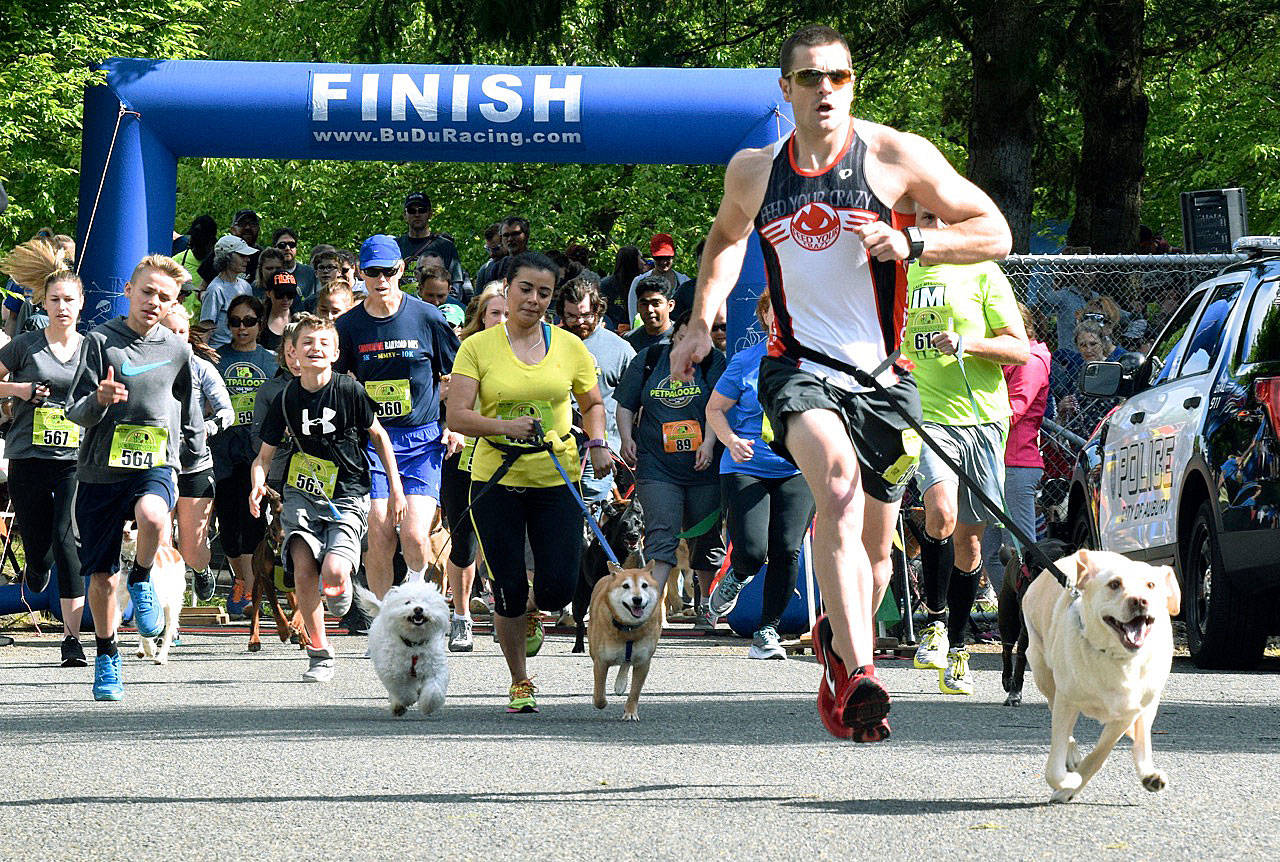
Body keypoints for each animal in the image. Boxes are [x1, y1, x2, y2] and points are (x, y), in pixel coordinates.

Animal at [358, 581, 453, 717]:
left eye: (426, 602)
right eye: (407, 602)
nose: (418, 608)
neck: (414, 645)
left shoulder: (434, 669)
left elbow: (433, 692)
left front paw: (427, 706)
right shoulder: (394, 673)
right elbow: (404, 691)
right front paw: (408, 699)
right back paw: (398, 706)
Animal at [573, 496, 645, 653]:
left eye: (638, 522)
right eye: (624, 524)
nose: (634, 535)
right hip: (580, 599)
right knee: (580, 623)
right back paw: (578, 646)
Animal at [993, 537, 1075, 707]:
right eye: (1037, 570)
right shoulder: (1026, 634)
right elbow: (1020, 665)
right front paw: (1014, 696)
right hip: (1009, 621)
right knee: (1006, 651)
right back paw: (1007, 680)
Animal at [1018, 550, 1177, 799]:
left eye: (1151, 585)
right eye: (1114, 584)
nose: (1140, 600)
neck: (1116, 657)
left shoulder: (1126, 713)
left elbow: (1100, 753)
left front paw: (1073, 784)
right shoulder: (1066, 700)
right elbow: (1054, 767)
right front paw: (1069, 782)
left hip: (1150, 702)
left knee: (1142, 735)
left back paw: (1149, 773)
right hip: (1042, 671)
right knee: (1057, 716)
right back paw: (1072, 757)